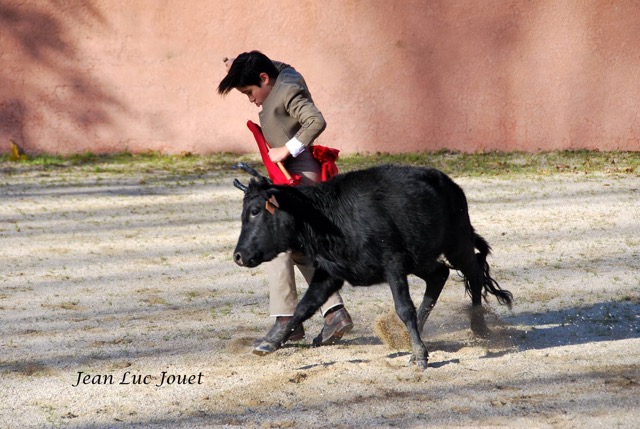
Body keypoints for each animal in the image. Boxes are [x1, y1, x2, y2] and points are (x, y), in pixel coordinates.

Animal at [232, 164, 512, 368]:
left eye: (255, 211)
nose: (238, 256)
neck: (327, 217)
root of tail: (450, 184)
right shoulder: (330, 273)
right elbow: (304, 306)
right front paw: (270, 344)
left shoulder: (393, 263)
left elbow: (404, 308)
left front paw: (420, 355)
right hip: (420, 259)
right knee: (439, 275)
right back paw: (409, 335)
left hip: (457, 243)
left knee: (473, 273)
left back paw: (479, 326)